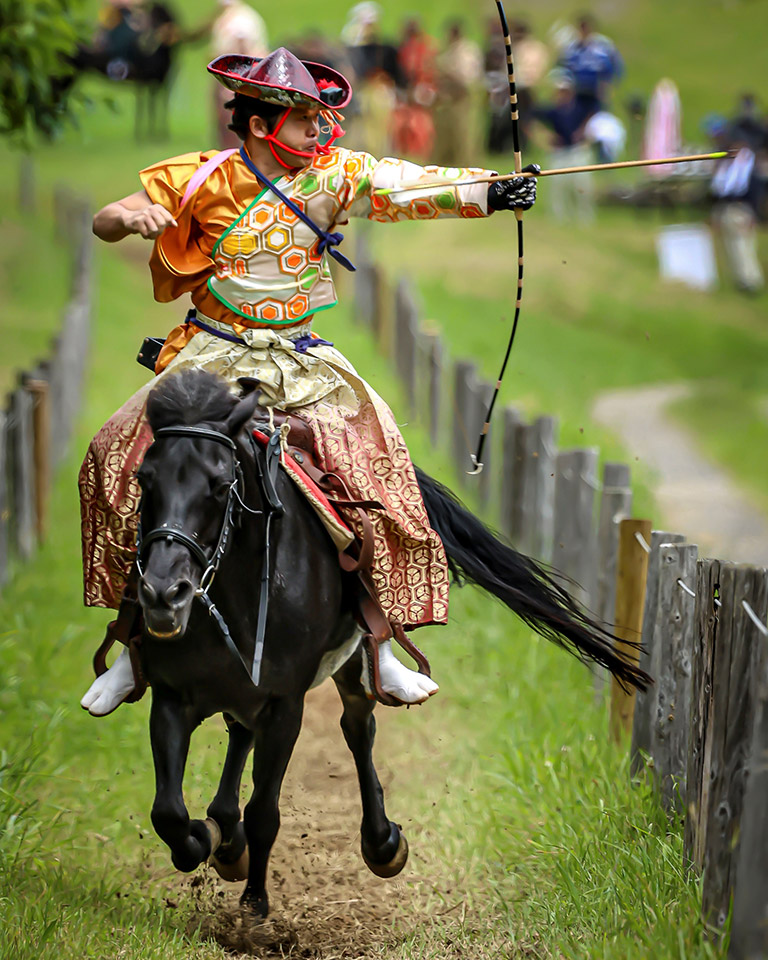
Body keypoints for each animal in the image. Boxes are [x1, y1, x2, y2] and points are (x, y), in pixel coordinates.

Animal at [134, 366, 648, 916]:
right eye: (144, 479)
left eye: (219, 483)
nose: (162, 592)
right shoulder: (173, 695)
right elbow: (168, 812)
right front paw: (208, 839)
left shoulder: (286, 702)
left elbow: (265, 809)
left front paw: (253, 897)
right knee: (242, 735)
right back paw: (228, 838)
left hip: (349, 661)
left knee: (356, 730)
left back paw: (380, 842)